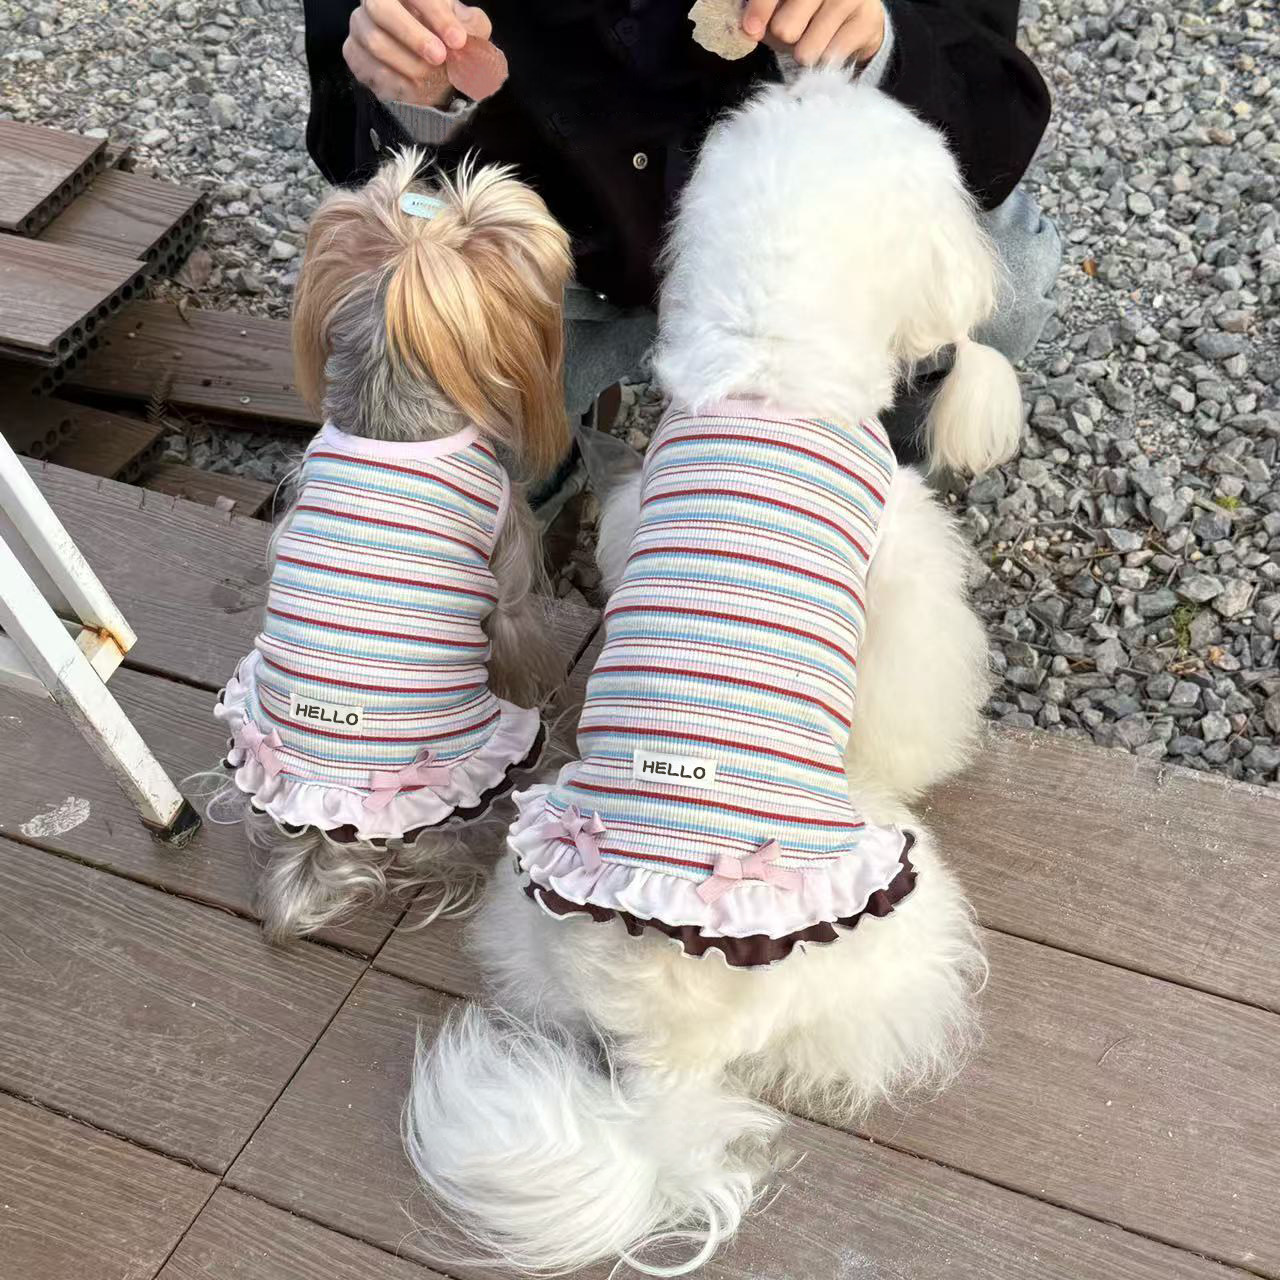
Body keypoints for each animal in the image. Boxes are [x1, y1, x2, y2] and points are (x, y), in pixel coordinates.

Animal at [405, 71, 1016, 1274]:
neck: (769, 363)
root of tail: (665, 1055)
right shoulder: (905, 578)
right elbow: (918, 699)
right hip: (903, 912)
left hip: (517, 915)